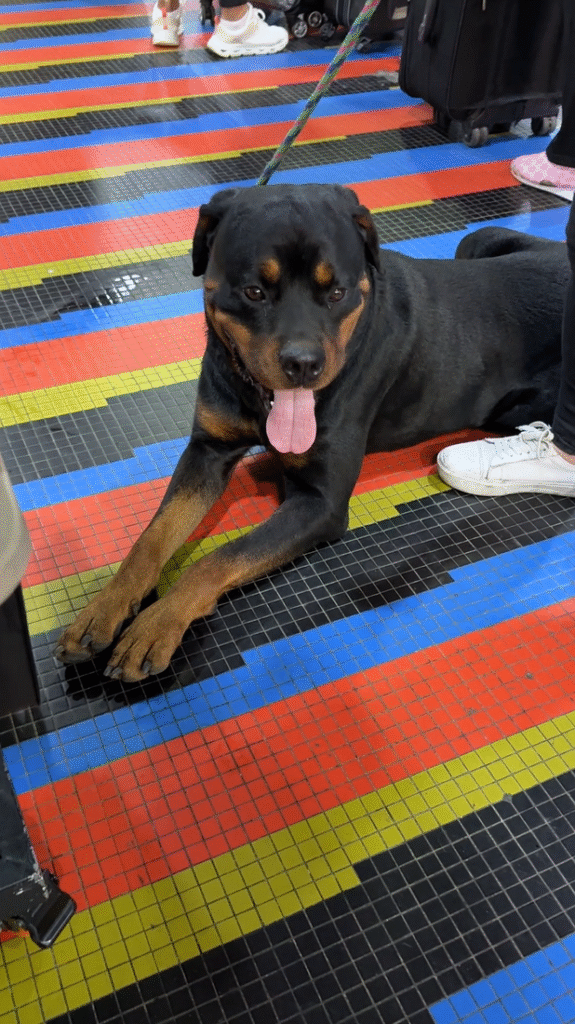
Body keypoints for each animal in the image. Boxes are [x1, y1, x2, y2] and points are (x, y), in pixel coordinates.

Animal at [55, 183, 570, 682]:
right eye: (254, 291)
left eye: (337, 292)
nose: (303, 363)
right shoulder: (208, 449)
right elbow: (154, 535)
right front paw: (105, 607)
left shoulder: (319, 503)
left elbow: (219, 558)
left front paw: (157, 624)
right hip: (479, 239)